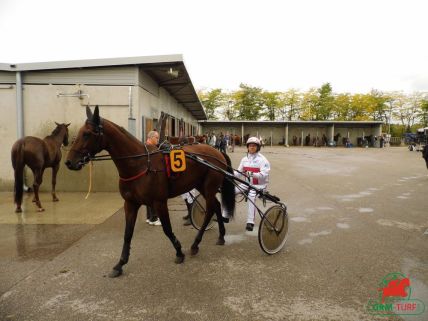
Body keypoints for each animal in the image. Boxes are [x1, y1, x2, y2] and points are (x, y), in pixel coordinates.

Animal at [65, 106, 236, 276]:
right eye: (79, 132)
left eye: (87, 133)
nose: (69, 162)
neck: (140, 164)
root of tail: (217, 152)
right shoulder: (130, 203)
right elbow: (128, 233)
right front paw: (120, 264)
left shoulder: (159, 202)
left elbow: (167, 229)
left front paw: (179, 252)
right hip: (202, 186)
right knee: (216, 206)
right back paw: (221, 236)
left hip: (209, 187)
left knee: (209, 210)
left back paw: (195, 244)